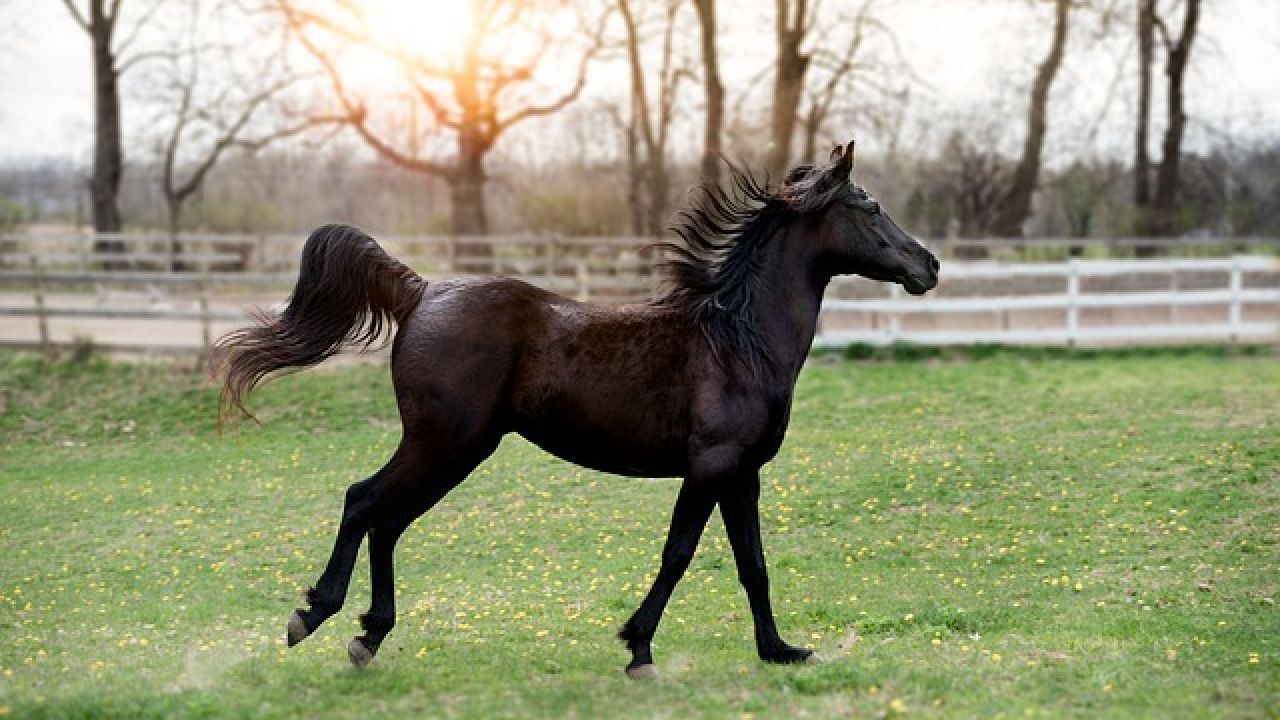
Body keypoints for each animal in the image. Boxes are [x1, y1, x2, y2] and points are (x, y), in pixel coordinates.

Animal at [217, 141, 942, 676]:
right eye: (870, 206)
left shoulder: (744, 474)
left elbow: (752, 564)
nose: (929, 266)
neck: (740, 341)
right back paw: (313, 617)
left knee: (387, 520)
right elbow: (679, 553)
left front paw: (780, 650)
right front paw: (638, 648)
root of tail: (421, 292)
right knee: (364, 502)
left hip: (450, 449)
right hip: (445, 443)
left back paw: (367, 635)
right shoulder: (709, 466)